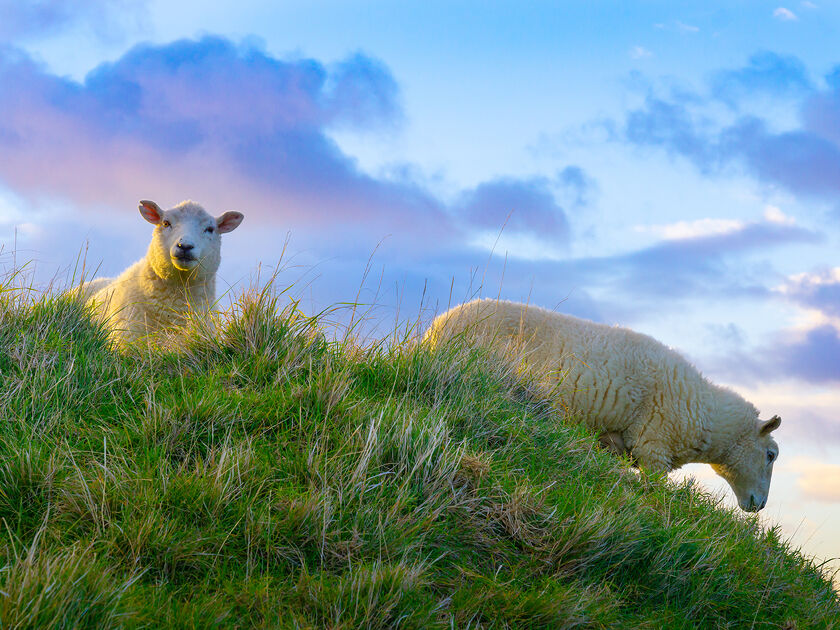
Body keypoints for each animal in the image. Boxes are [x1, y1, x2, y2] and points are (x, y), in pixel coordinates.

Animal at [425, 298, 781, 512]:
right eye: (770, 454)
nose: (760, 505)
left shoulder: (616, 443)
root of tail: (437, 325)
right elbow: (653, 491)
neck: (703, 409)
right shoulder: (653, 446)